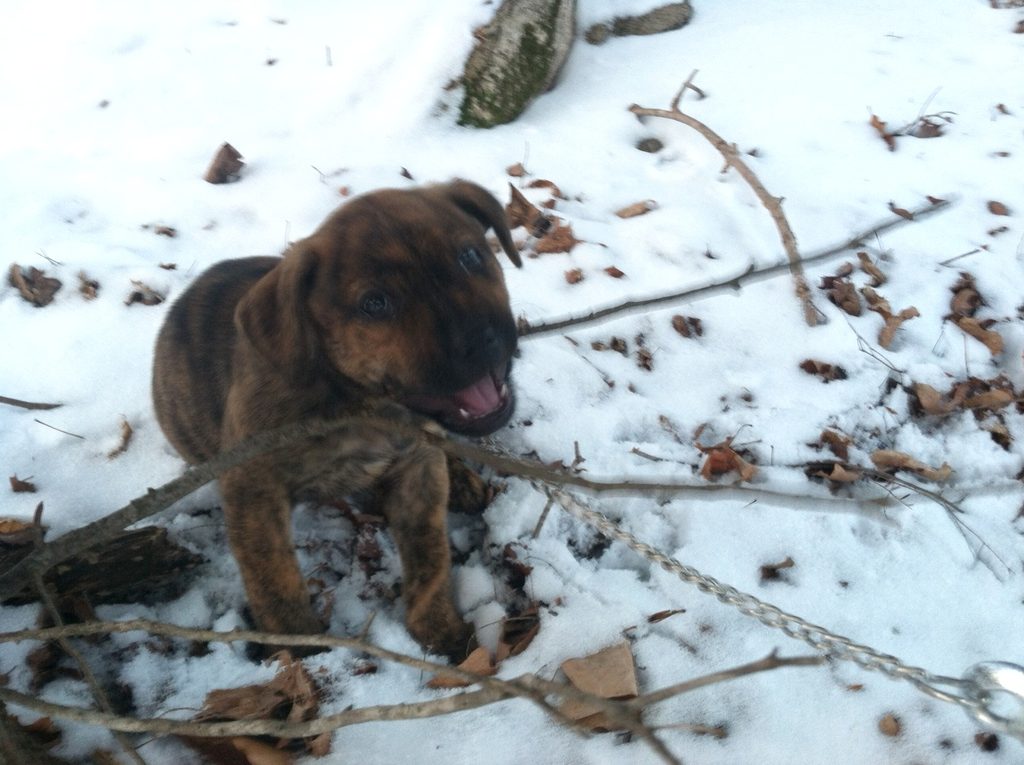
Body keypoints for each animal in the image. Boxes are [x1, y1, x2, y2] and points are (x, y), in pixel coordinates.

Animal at [151, 182, 520, 659]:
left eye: (471, 256)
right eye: (375, 304)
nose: (482, 339)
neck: (358, 403)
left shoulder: (418, 470)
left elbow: (430, 554)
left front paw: (441, 628)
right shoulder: (251, 485)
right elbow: (273, 576)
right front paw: (296, 645)